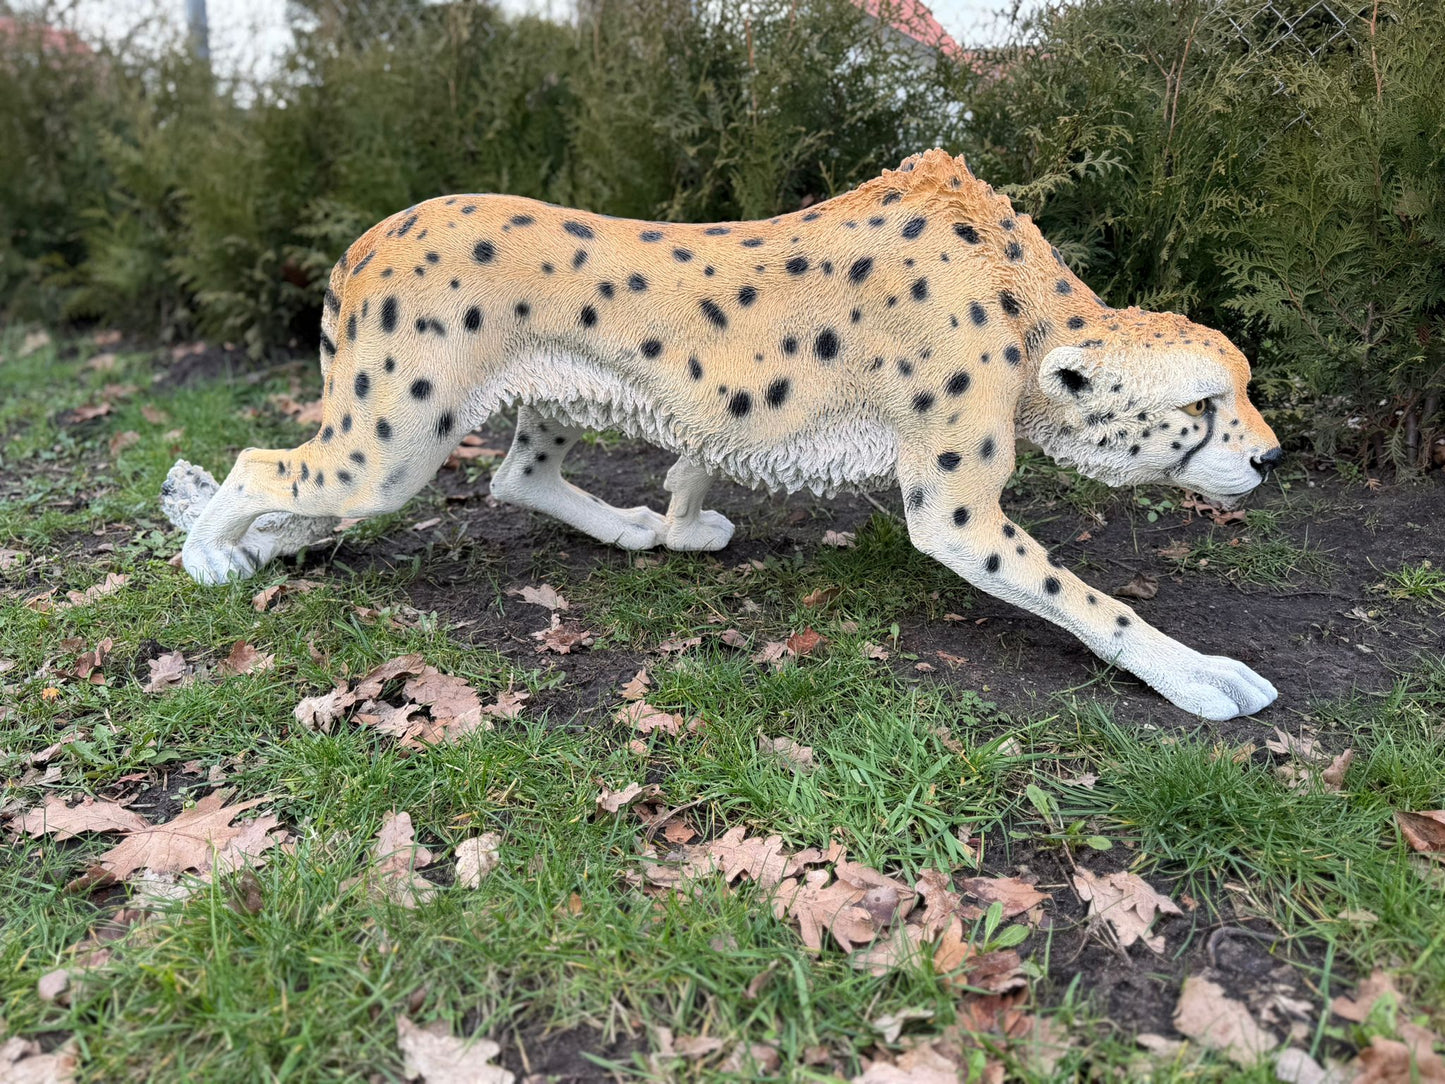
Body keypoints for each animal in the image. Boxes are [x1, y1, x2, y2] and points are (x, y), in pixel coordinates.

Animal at [161, 148, 1283, 721]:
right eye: (1201, 407)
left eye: (1242, 388)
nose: (1270, 456)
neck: (1030, 303)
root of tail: (367, 236)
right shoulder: (956, 510)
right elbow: (1086, 597)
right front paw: (1195, 673)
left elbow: (703, 445)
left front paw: (680, 515)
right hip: (391, 443)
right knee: (267, 463)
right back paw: (213, 553)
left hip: (546, 392)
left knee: (514, 478)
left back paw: (630, 530)